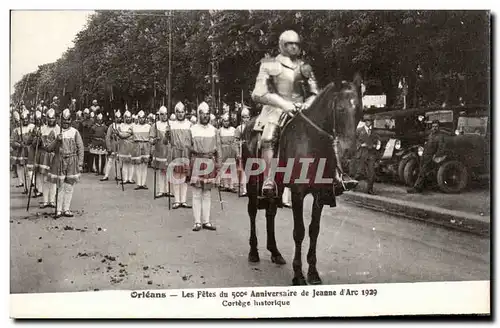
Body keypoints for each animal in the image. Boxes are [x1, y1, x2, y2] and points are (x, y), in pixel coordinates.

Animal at [243, 75, 364, 286]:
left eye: (359, 110)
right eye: (340, 109)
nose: (348, 150)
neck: (312, 141)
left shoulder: (320, 194)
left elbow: (314, 230)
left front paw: (313, 272)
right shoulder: (298, 193)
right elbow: (298, 231)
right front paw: (298, 274)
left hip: (277, 186)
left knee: (270, 213)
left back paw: (275, 252)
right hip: (252, 182)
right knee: (252, 212)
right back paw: (254, 252)